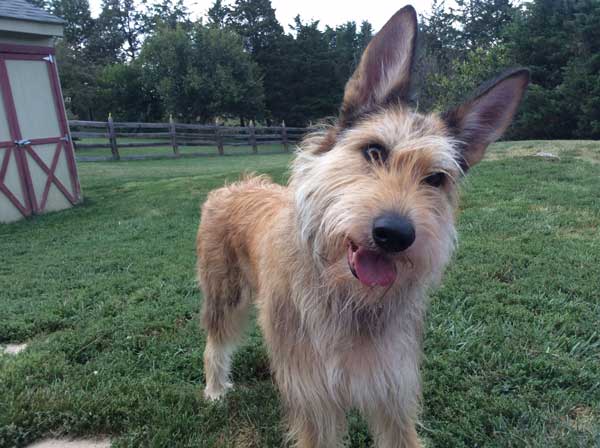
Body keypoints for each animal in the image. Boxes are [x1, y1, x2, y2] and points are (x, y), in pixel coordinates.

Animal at [196, 5, 524, 446]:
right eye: (374, 151)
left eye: (436, 178)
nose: (395, 235)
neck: (349, 299)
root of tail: (236, 184)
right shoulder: (315, 401)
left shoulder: (393, 392)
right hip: (224, 294)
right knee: (215, 342)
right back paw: (215, 389)